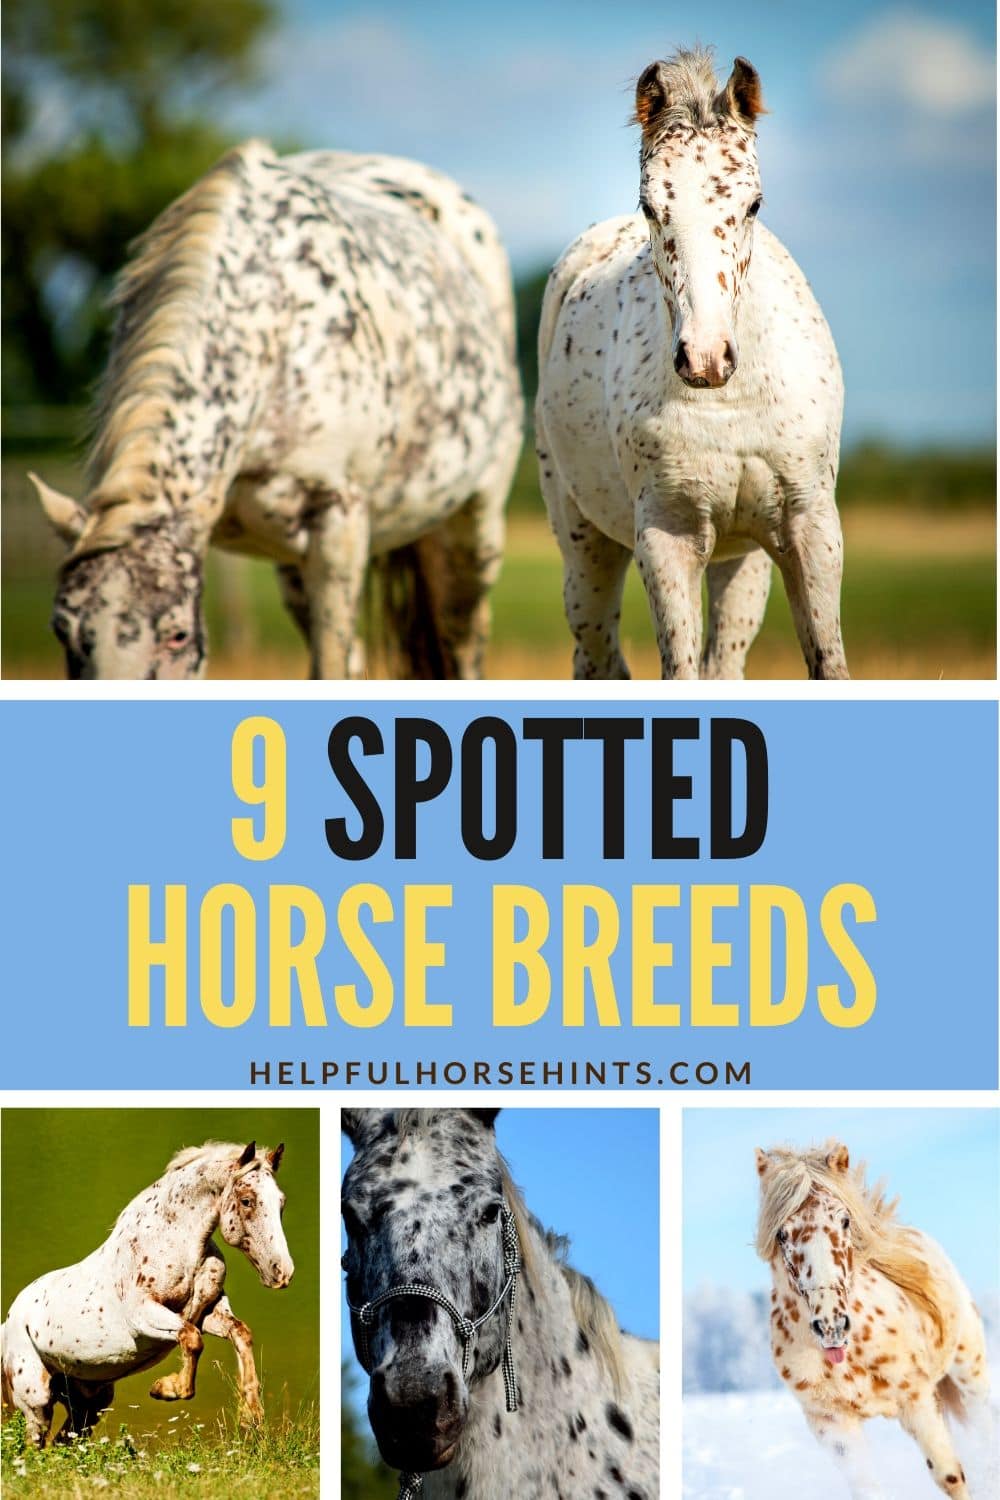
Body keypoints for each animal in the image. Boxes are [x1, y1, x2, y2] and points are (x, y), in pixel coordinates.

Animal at [1, 1141, 292, 1446]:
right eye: (247, 1201)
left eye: (281, 1202)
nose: (281, 1272)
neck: (177, 1244)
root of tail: (8, 1323)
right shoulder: (144, 1316)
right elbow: (192, 1340)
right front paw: (165, 1388)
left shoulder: (207, 1311)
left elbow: (240, 1333)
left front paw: (251, 1416)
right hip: (37, 1400)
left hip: (89, 1403)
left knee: (63, 1442)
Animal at [29, 142, 522, 679]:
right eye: (62, 630)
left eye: (177, 634)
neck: (280, 330)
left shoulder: (339, 524)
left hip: (472, 530)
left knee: (462, 640)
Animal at [536, 47, 848, 680]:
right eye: (651, 206)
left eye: (753, 204)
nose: (705, 358)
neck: (730, 405)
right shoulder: (667, 536)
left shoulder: (810, 528)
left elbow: (828, 662)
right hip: (584, 543)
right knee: (598, 654)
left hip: (743, 559)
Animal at [755, 1141, 993, 1498]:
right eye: (782, 1234)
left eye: (844, 1221)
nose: (831, 1325)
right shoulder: (832, 1424)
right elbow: (867, 1488)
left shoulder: (917, 1400)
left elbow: (950, 1476)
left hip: (969, 1371)